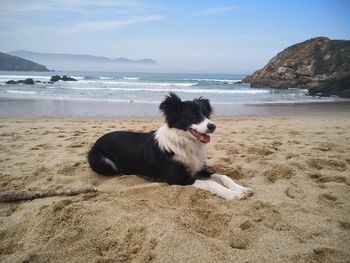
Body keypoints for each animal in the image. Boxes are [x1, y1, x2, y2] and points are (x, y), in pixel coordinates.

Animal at [87, 93, 252, 200]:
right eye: (193, 115)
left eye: (206, 114)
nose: (213, 126)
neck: (184, 142)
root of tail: (97, 141)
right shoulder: (178, 179)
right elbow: (212, 183)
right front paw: (232, 194)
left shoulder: (199, 169)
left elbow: (223, 176)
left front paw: (241, 188)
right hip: (102, 161)